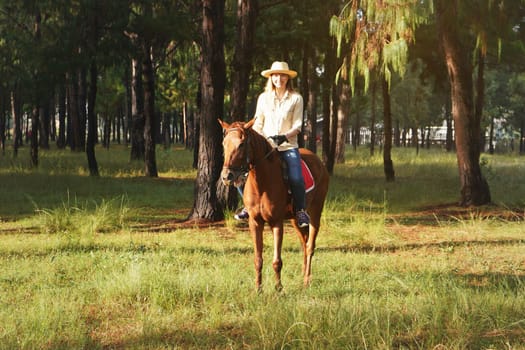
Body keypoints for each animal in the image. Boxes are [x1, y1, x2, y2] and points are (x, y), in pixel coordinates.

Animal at [220, 119, 328, 292]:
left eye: (242, 144)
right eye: (224, 143)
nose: (226, 176)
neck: (262, 183)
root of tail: (319, 162)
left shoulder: (277, 222)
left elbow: (277, 261)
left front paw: (278, 289)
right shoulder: (255, 222)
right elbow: (258, 259)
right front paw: (258, 289)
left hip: (316, 212)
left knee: (310, 246)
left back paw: (306, 280)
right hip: (295, 219)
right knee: (304, 244)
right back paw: (303, 275)